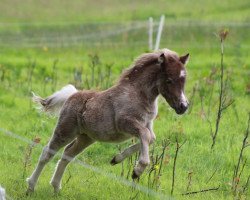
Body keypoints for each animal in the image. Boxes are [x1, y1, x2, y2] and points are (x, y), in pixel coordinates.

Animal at [26, 48, 188, 194]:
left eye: (184, 80)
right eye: (169, 80)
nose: (183, 106)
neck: (138, 95)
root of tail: (72, 95)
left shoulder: (147, 124)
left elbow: (150, 138)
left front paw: (116, 159)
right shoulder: (126, 123)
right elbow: (146, 136)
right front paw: (137, 171)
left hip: (86, 137)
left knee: (67, 154)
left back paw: (56, 187)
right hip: (65, 131)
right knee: (47, 153)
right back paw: (31, 187)